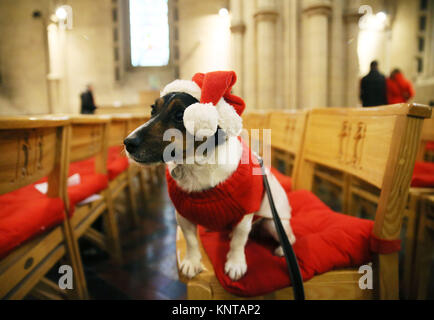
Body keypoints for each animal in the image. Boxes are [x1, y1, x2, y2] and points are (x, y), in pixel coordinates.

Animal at [124, 72, 294, 280]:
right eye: (152, 110)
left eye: (180, 116)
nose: (128, 143)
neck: (196, 165)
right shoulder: (182, 215)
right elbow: (190, 239)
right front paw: (192, 262)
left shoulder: (245, 213)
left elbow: (239, 240)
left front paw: (235, 263)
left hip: (274, 223)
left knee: (290, 237)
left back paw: (282, 249)